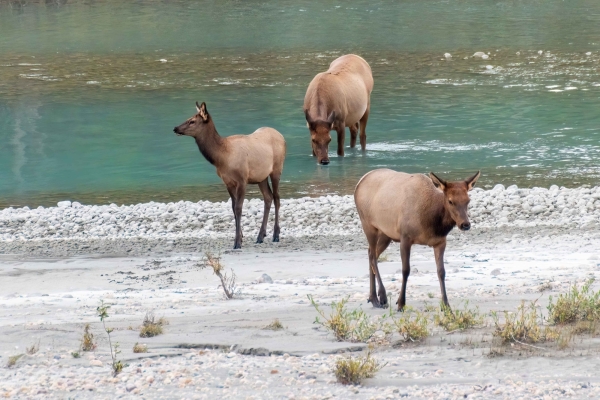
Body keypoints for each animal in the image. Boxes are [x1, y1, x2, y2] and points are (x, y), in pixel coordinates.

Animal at [172, 101, 288, 248]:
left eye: (192, 121)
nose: (175, 128)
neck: (222, 157)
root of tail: (282, 137)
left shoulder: (242, 179)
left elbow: (238, 208)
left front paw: (237, 242)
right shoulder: (227, 182)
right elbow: (233, 208)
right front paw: (241, 237)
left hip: (277, 169)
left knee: (277, 197)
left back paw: (276, 235)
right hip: (261, 176)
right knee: (268, 197)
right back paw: (261, 236)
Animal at [354, 169, 480, 310]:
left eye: (468, 200)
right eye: (450, 201)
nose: (465, 224)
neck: (431, 224)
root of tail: (359, 182)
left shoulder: (440, 242)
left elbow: (441, 272)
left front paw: (447, 306)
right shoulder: (405, 237)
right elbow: (405, 270)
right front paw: (401, 303)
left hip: (386, 234)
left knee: (371, 253)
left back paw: (373, 298)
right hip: (368, 225)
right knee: (373, 257)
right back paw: (382, 297)